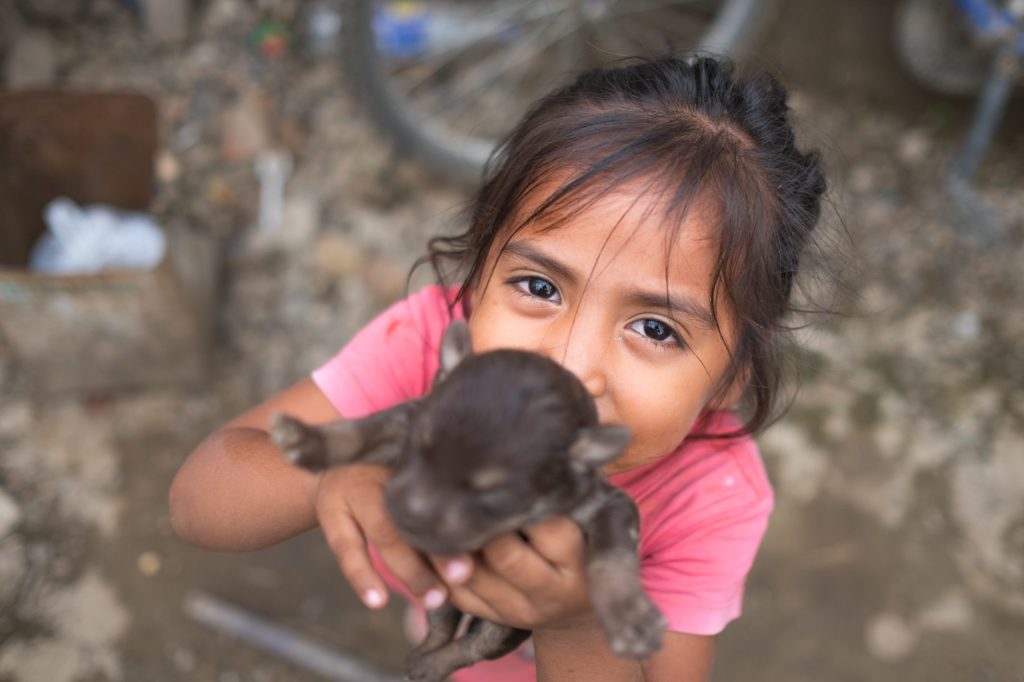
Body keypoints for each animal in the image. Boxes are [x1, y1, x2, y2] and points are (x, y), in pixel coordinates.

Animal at [272, 319, 667, 679]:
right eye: (419, 448)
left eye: (491, 491)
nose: (411, 514)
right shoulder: (407, 417)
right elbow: (361, 430)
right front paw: (306, 440)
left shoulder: (605, 504)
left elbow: (612, 556)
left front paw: (629, 617)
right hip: (441, 593)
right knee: (441, 624)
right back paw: (422, 658)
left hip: (506, 624)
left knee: (474, 647)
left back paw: (431, 666)